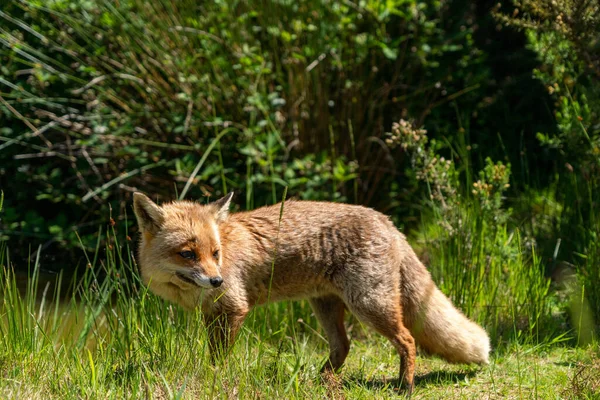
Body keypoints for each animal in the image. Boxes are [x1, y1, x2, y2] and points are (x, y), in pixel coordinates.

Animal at [134, 192, 490, 392]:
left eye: (215, 253)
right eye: (188, 254)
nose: (217, 281)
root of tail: (387, 221)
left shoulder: (234, 308)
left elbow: (219, 359)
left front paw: (213, 380)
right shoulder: (212, 315)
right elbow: (212, 354)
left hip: (369, 304)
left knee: (408, 340)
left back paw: (406, 386)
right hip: (327, 306)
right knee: (343, 347)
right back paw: (320, 382)